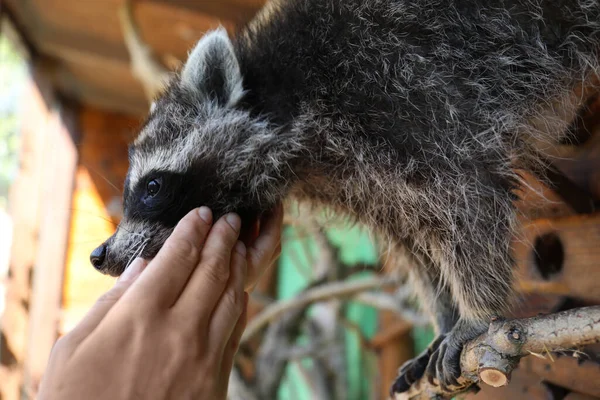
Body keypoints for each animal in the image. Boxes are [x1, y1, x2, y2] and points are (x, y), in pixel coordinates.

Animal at [90, 0, 600, 394]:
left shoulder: (406, 96)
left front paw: (477, 313)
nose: (100, 255)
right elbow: (415, 240)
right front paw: (444, 315)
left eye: (153, 187)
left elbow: (471, 198)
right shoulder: (361, 176)